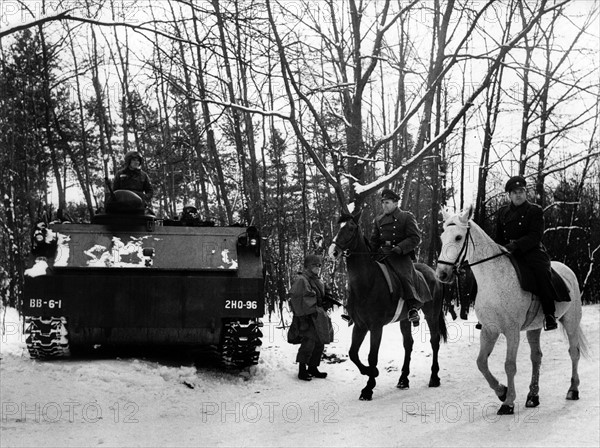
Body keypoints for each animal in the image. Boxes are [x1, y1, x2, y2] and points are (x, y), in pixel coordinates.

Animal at [326, 212, 448, 400]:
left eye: (351, 228)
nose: (333, 251)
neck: (367, 282)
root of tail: (432, 272)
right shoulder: (360, 326)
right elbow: (353, 353)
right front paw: (370, 373)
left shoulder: (376, 327)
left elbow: (372, 356)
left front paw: (369, 387)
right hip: (405, 319)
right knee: (408, 344)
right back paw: (403, 380)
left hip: (432, 314)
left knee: (434, 341)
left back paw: (434, 377)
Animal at [434, 208, 588, 414]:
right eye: (443, 237)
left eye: (458, 237)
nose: (442, 274)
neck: (493, 279)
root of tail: (567, 270)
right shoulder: (489, 330)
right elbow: (481, 363)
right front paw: (502, 392)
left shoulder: (512, 331)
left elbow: (509, 365)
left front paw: (508, 402)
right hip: (534, 328)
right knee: (536, 357)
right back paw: (533, 396)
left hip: (571, 322)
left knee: (574, 352)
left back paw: (573, 390)